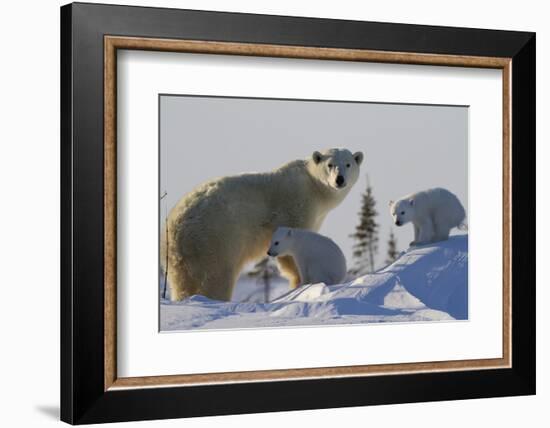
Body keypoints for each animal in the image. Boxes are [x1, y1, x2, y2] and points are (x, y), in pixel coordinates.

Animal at [162, 149, 364, 302]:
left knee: (182, 284)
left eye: (348, 164)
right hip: (215, 240)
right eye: (330, 165)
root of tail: (176, 226)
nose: (340, 179)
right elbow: (291, 251)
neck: (313, 185)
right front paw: (299, 283)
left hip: (179, 258)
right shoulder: (296, 206)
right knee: (217, 277)